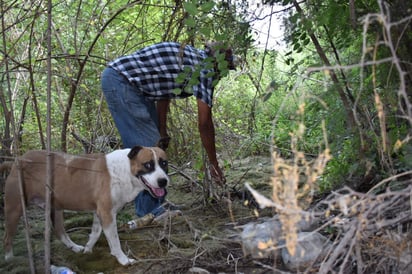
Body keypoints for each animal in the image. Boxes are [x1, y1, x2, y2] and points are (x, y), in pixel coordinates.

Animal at [2, 144, 169, 266]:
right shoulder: (107, 214)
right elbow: (115, 240)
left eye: (164, 163)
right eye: (148, 165)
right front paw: (123, 259)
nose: (163, 181)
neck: (126, 169)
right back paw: (9, 259)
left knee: (60, 232)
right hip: (14, 208)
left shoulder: (99, 213)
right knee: (7, 237)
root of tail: (17, 160)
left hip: (56, 208)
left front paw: (88, 249)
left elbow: (95, 233)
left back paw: (75, 247)